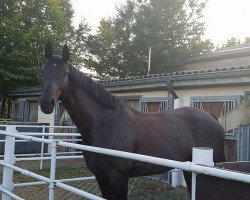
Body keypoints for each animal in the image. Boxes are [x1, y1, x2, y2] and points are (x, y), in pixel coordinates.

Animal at [39, 43, 227, 199]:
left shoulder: (119, 177)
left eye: (65, 73)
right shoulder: (100, 176)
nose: (46, 103)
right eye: (43, 71)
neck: (104, 123)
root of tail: (212, 118)